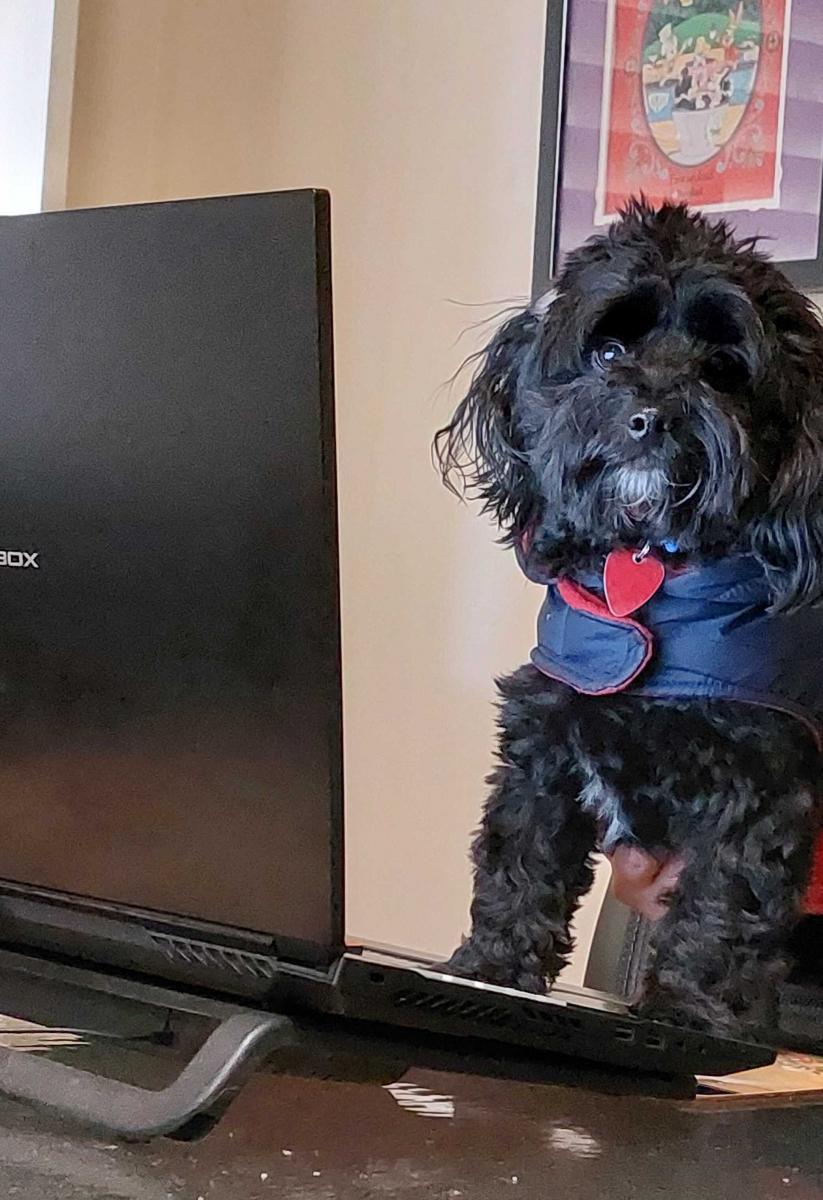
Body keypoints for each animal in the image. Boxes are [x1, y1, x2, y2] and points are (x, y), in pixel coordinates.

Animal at [434, 201, 820, 1036]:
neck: (650, 571)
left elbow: (723, 898)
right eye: (608, 348)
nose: (651, 416)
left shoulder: (762, 775)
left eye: (722, 368)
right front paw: (491, 966)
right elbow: (520, 858)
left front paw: (687, 1010)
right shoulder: (545, 741)